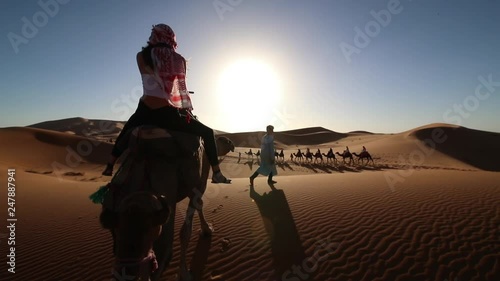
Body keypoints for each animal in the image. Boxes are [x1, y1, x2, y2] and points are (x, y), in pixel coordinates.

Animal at [94, 126, 234, 280]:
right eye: (224, 141)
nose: (231, 143)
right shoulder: (198, 182)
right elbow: (187, 229)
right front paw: (185, 272)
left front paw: (206, 229)